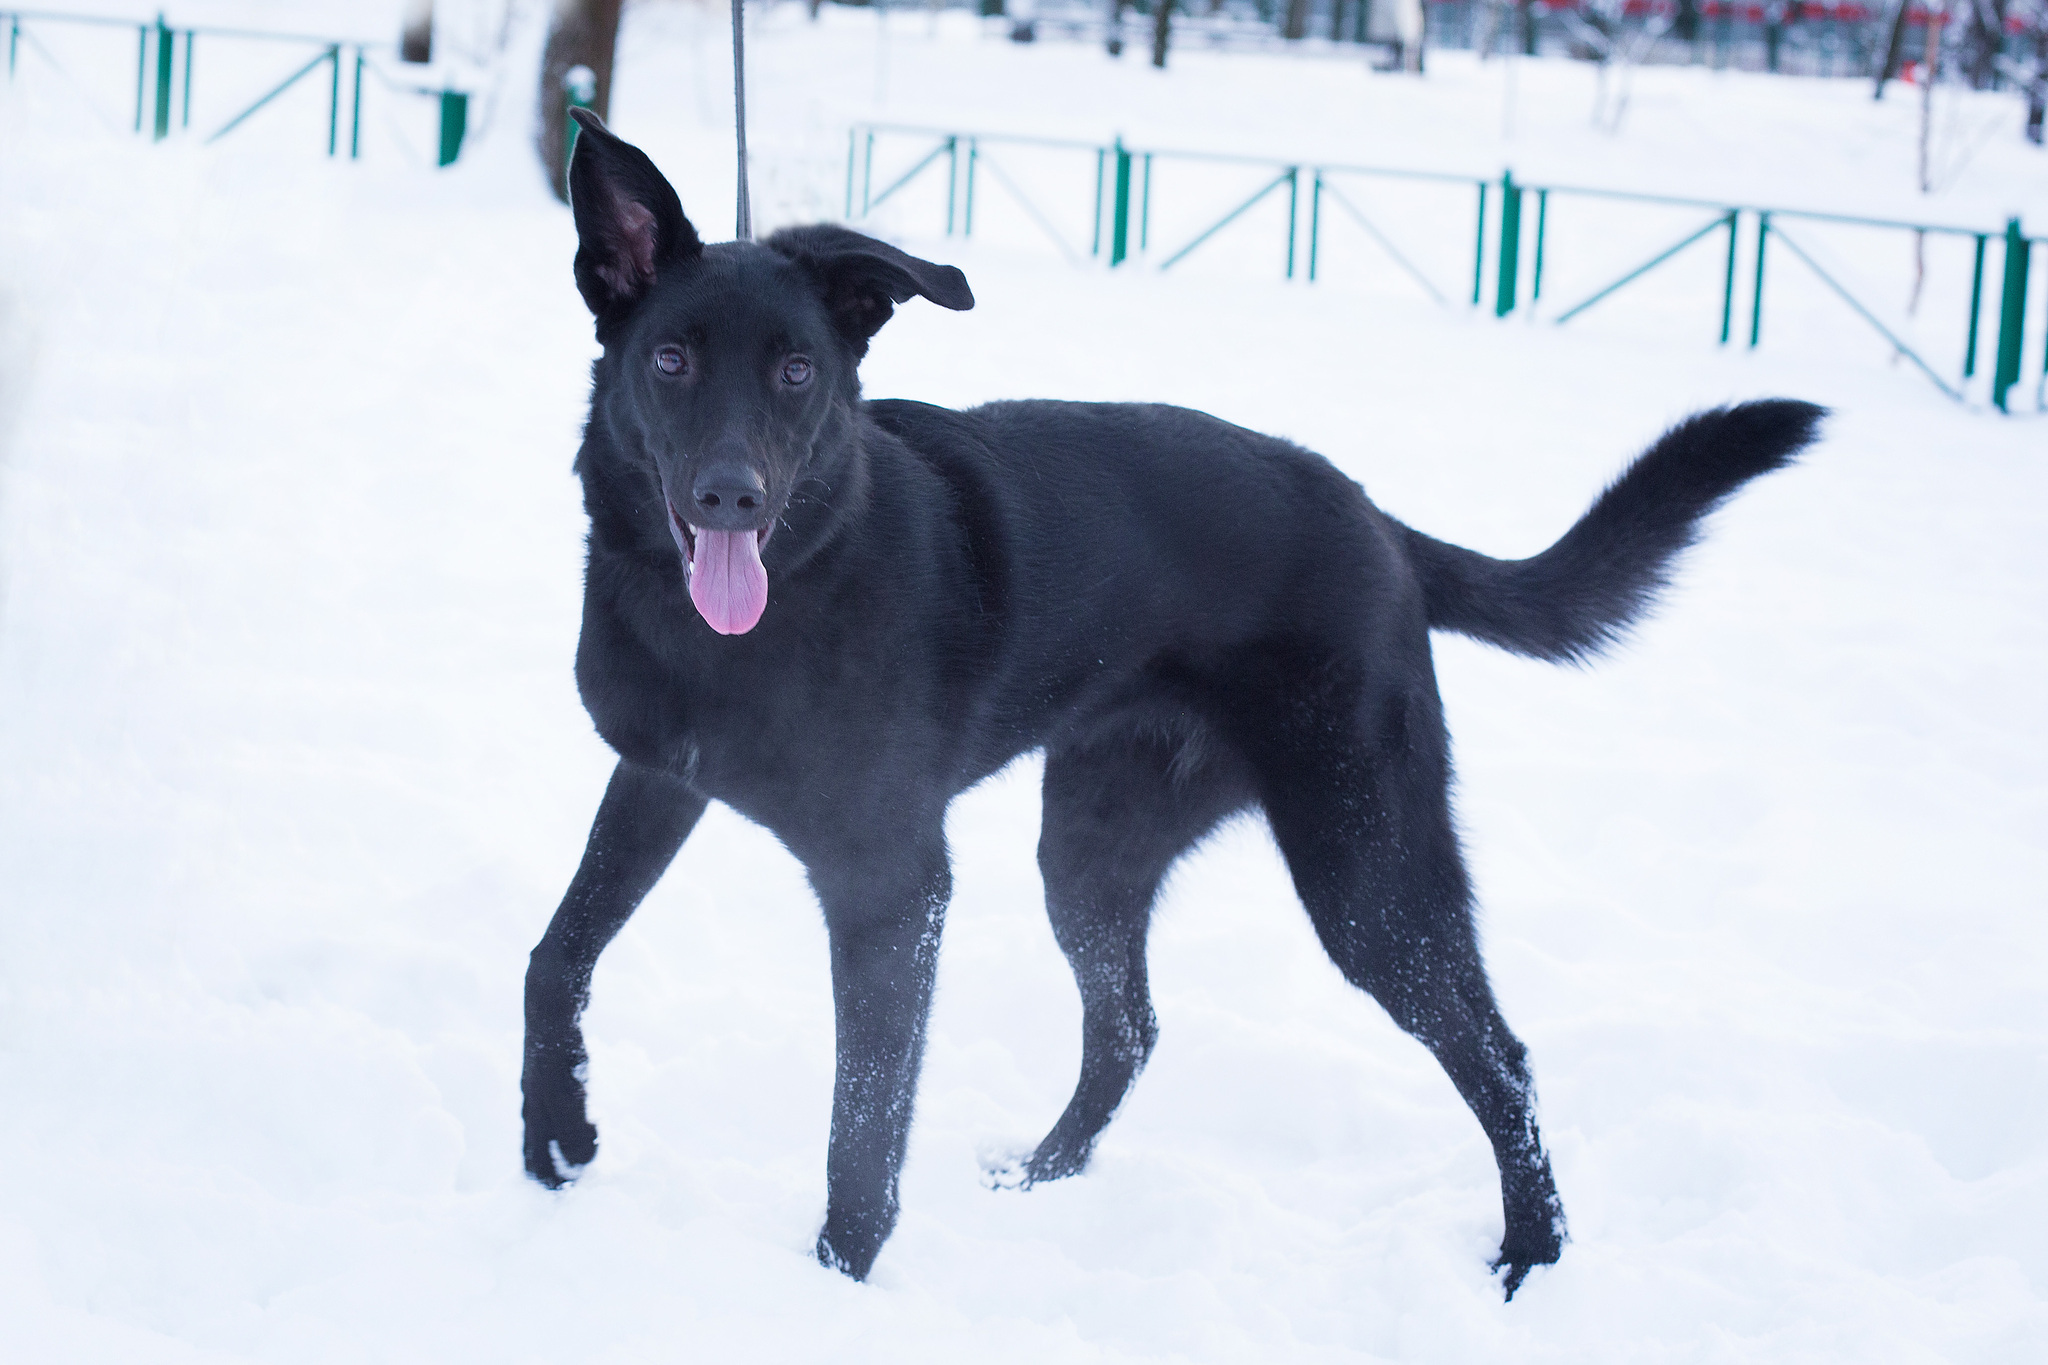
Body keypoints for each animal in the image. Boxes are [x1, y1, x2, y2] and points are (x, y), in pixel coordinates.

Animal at [524, 109, 1826, 1301]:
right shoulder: (657, 780)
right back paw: (1040, 1176)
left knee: (1497, 1054)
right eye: (670, 360)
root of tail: (1377, 520)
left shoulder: (892, 888)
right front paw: (556, 1133)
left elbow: (861, 1121)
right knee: (1128, 1028)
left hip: (1363, 873)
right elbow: (557, 953)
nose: (730, 496)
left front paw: (837, 1284)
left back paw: (1530, 1259)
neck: (762, 605)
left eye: (797, 370)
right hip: (1090, 853)